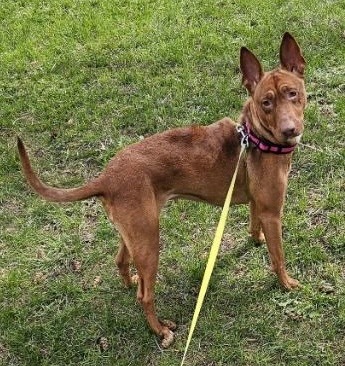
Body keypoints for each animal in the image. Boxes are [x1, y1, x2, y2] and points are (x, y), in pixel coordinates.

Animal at [17, 33, 306, 348]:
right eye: (266, 102)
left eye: (292, 94)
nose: (290, 130)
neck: (255, 136)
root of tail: (105, 177)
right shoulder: (273, 213)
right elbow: (278, 256)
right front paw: (286, 283)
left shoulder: (259, 205)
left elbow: (254, 227)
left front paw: (256, 240)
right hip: (150, 241)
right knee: (146, 295)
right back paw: (160, 330)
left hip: (134, 234)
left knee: (122, 263)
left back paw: (130, 283)